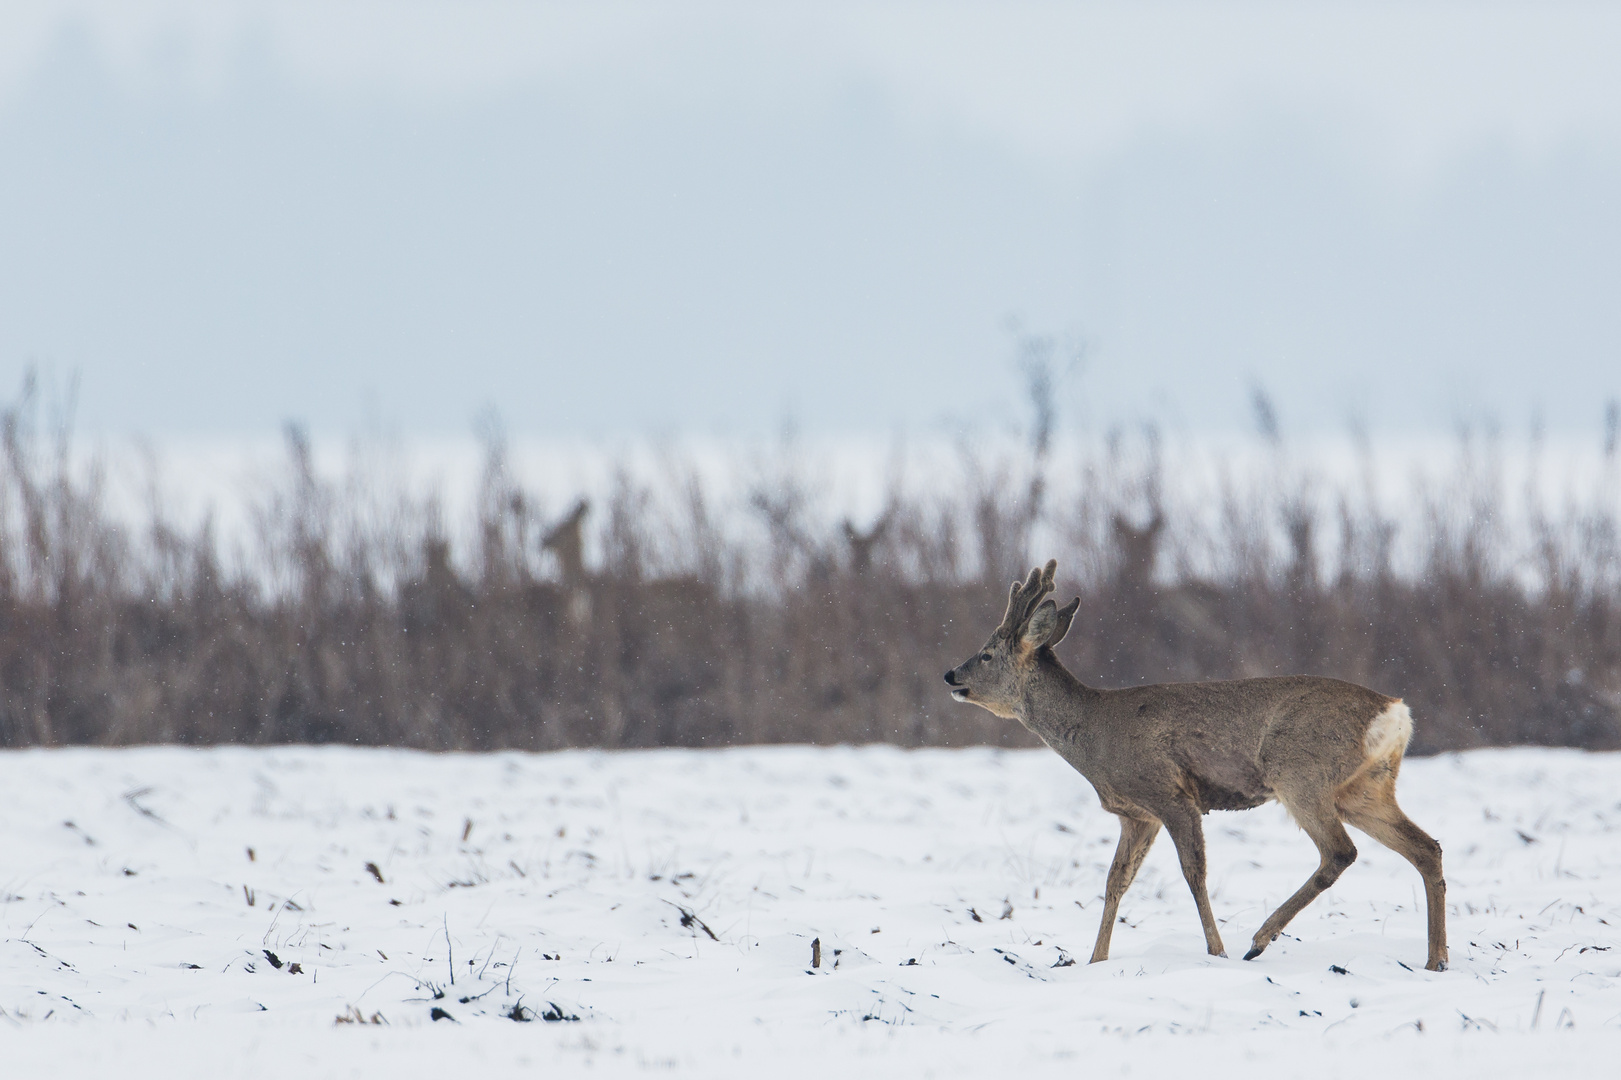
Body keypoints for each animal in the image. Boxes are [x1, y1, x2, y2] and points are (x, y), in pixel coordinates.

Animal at [946, 557, 1452, 972]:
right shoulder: (1137, 815)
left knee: (1340, 851)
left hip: (1299, 774)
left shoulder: (1170, 795)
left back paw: (1259, 940)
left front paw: (1216, 952)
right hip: (1364, 789)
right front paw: (1096, 960)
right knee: (1426, 847)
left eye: (986, 654)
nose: (951, 675)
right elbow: (1115, 882)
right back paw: (1436, 960)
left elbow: (1194, 874)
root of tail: (1395, 713)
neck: (1094, 732)